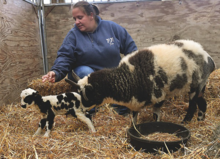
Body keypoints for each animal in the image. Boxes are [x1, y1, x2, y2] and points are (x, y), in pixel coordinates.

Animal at [65, 39, 215, 124]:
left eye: (87, 94)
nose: (82, 108)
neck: (128, 78)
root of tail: (208, 57)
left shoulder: (159, 97)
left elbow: (155, 115)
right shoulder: (135, 103)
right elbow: (134, 119)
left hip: (196, 85)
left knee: (193, 106)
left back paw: (185, 122)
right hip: (200, 86)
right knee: (203, 103)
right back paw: (200, 121)